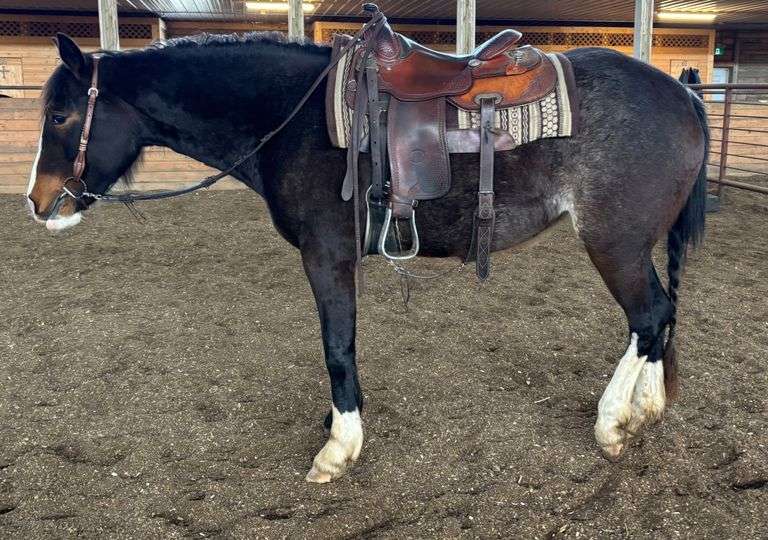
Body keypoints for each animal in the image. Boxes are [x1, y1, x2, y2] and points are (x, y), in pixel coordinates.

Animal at [26, 30, 708, 483]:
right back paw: (647, 408)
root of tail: (682, 96)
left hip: (614, 243)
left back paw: (614, 423)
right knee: (662, 316)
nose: (38, 202)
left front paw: (339, 446)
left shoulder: (326, 256)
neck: (291, 117)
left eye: (60, 115)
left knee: (648, 316)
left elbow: (337, 345)